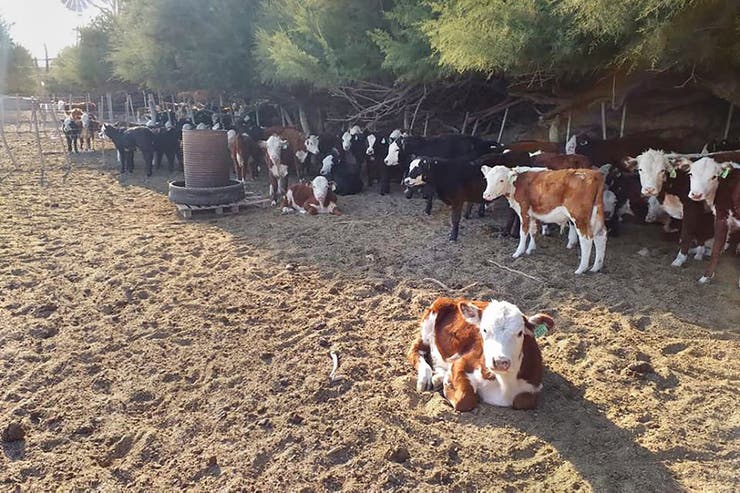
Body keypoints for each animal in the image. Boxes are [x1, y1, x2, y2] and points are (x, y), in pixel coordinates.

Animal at [408, 296, 552, 412]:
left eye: (520, 333)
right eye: (484, 330)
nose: (500, 362)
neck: (504, 383)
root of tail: (456, 300)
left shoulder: (533, 384)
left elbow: (524, 401)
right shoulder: (461, 363)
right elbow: (464, 400)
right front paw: (448, 383)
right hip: (429, 321)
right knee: (414, 351)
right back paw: (425, 378)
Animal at [480, 165, 608, 272]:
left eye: (501, 180)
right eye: (487, 179)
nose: (486, 195)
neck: (517, 182)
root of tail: (595, 174)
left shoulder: (524, 211)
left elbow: (523, 232)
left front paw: (518, 252)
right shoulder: (532, 214)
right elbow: (533, 231)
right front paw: (530, 249)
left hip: (579, 217)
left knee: (586, 239)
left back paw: (581, 269)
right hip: (596, 215)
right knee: (601, 236)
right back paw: (596, 267)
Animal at [684, 154, 736, 284]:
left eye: (714, 177)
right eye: (691, 174)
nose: (696, 194)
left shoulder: (722, 217)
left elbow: (716, 248)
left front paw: (705, 277)